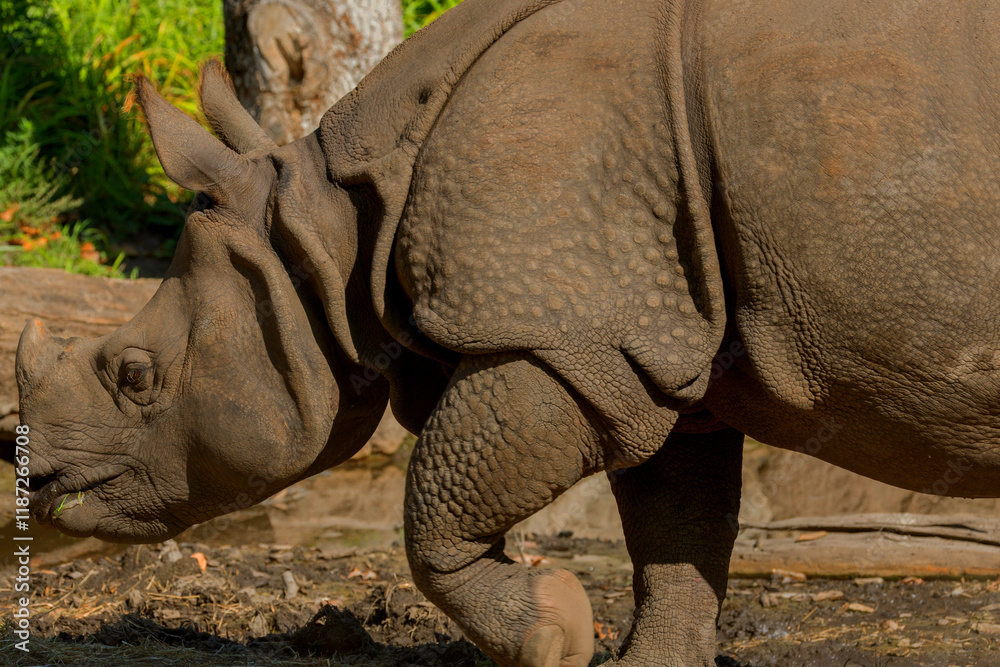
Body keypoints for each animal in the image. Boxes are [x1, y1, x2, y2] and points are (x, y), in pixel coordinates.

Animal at [15, 0, 1000, 664]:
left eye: (135, 374)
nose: (39, 476)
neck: (331, 233)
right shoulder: (650, 326)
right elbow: (678, 527)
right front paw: (644, 658)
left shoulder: (555, 328)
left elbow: (435, 509)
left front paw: (553, 629)